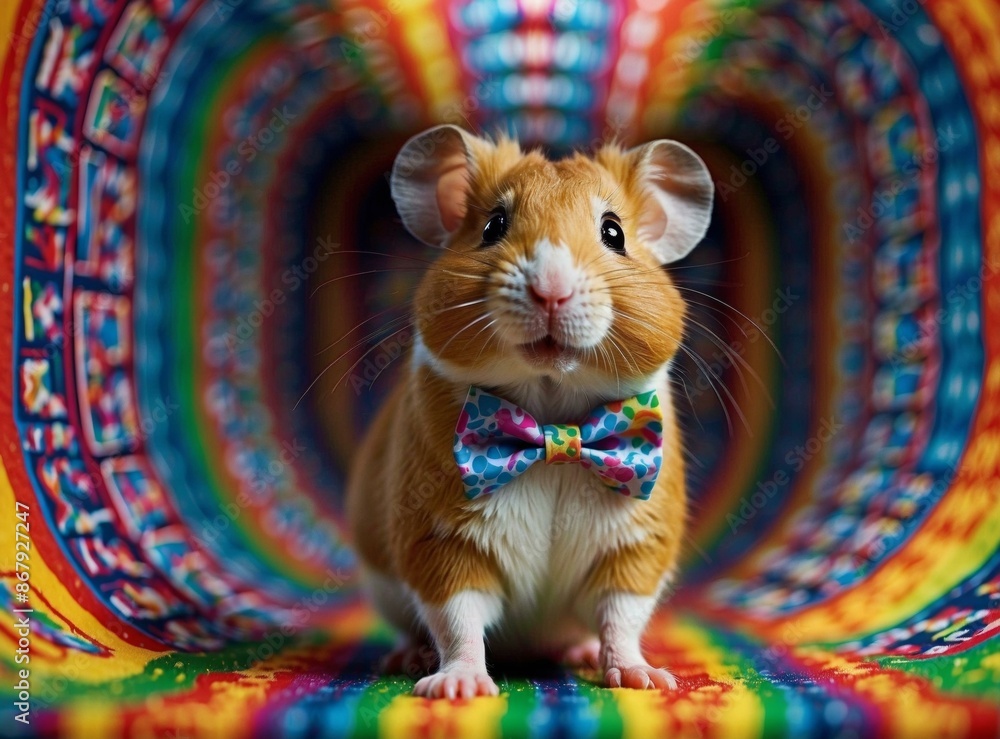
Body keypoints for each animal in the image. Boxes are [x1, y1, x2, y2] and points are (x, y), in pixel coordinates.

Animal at [345, 124, 714, 699]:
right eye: (493, 225)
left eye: (613, 232)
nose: (551, 290)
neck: (552, 415)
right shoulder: (440, 542)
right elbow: (458, 618)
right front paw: (458, 688)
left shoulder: (637, 545)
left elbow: (622, 617)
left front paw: (647, 680)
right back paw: (408, 658)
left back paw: (580, 653)